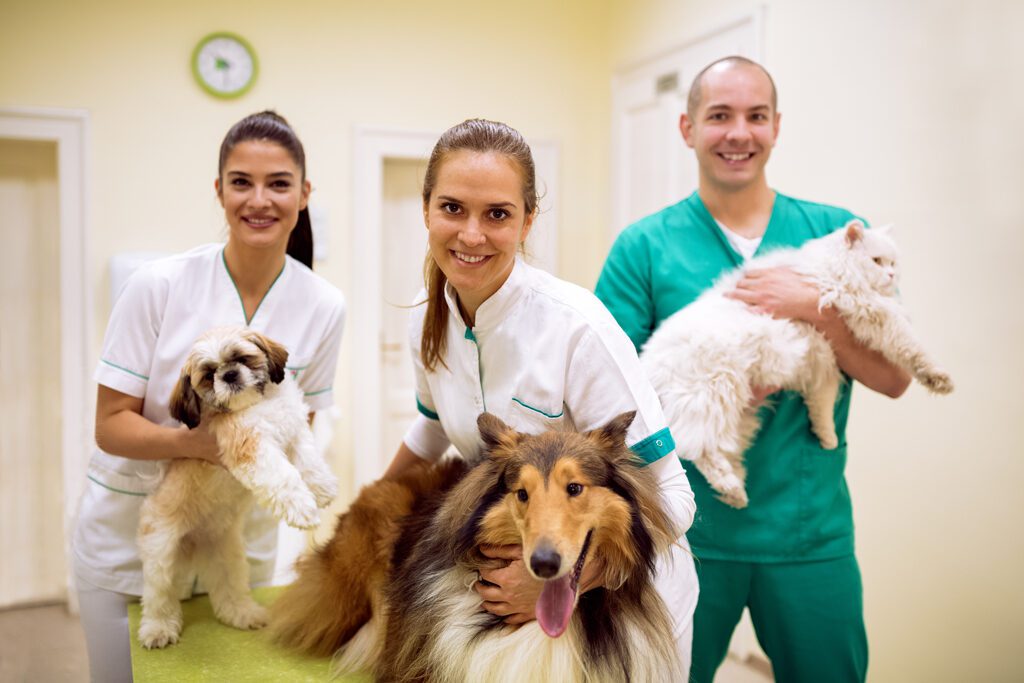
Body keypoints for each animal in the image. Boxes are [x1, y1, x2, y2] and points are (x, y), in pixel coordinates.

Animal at [135, 327, 335, 651]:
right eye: (208, 374)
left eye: (241, 358)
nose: (229, 374)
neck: (258, 405)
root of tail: (194, 538)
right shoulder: (251, 447)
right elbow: (283, 476)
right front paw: (302, 507)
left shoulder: (292, 430)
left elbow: (307, 459)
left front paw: (322, 487)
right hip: (161, 551)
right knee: (158, 594)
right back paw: (158, 628)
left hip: (225, 553)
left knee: (228, 589)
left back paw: (243, 614)